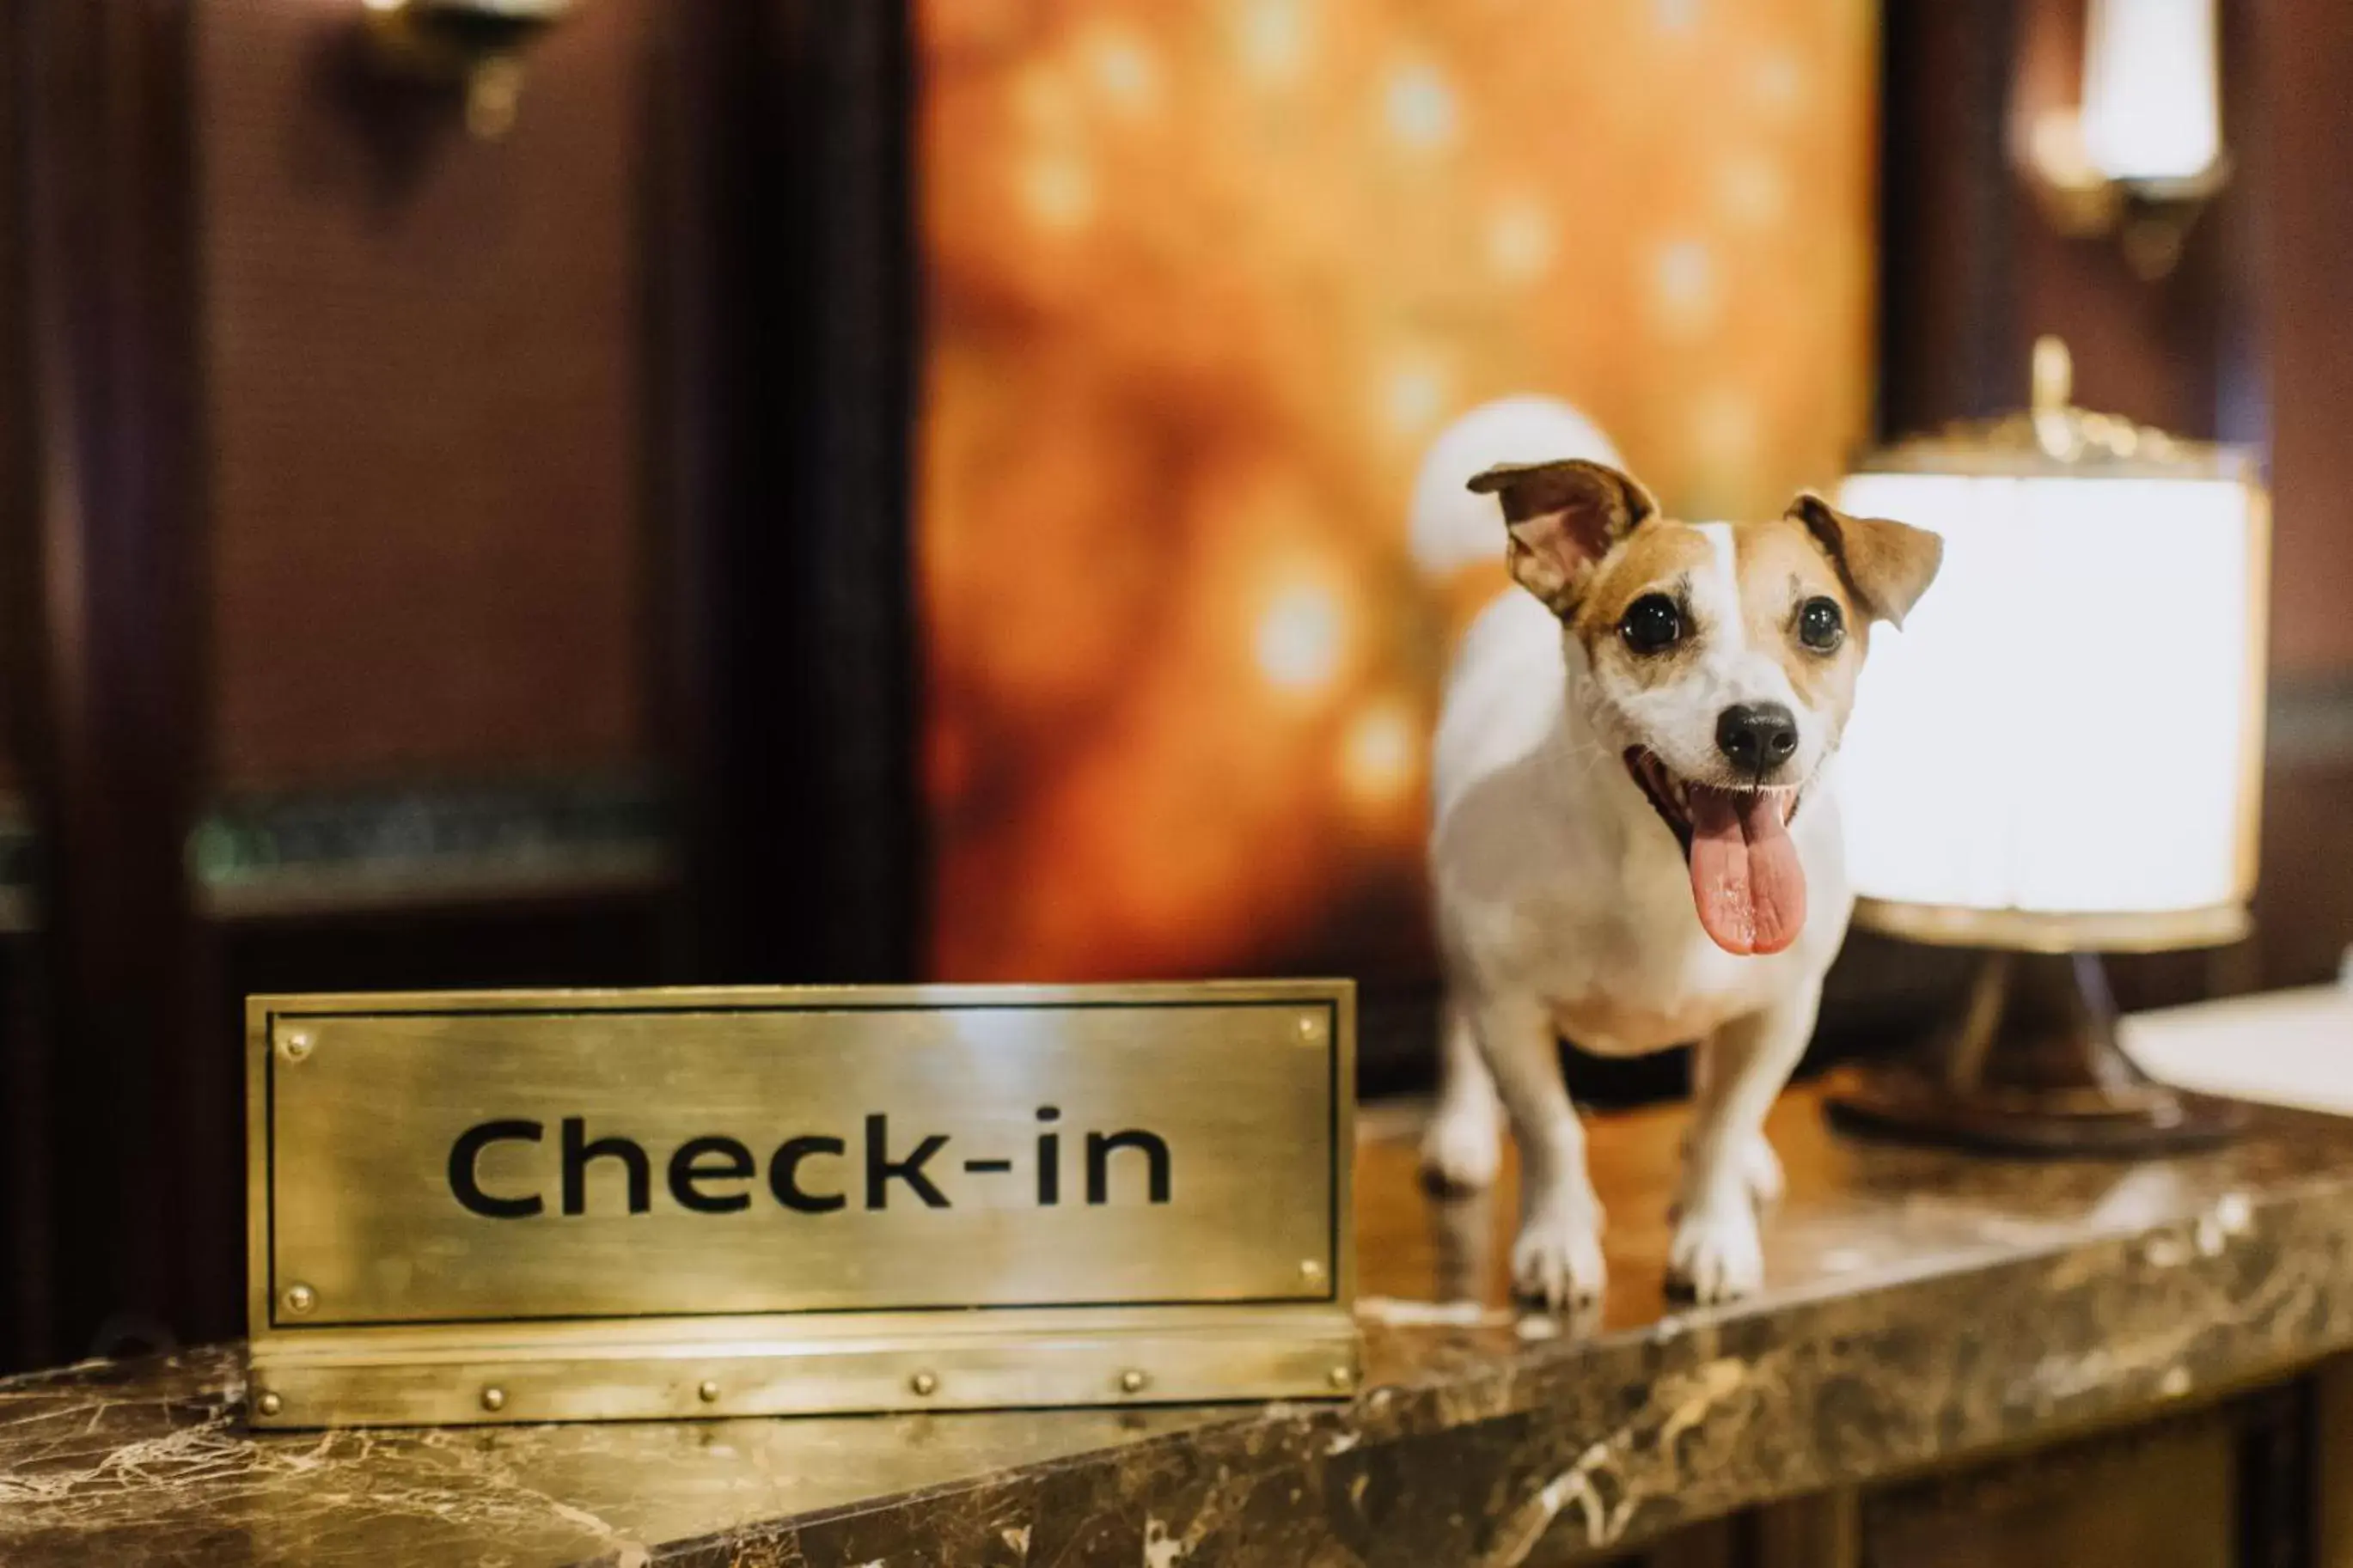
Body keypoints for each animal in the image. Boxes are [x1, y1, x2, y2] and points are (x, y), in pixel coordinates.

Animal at [1421, 435, 1939, 1307]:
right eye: (1653, 620)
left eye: (1821, 620)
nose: (1761, 730)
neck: (1664, 881)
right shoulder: (1510, 1010)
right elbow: (1549, 1128)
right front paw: (1557, 1242)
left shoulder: (1780, 1011)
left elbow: (1725, 1121)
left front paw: (1714, 1231)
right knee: (1454, 1018)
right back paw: (1459, 1131)